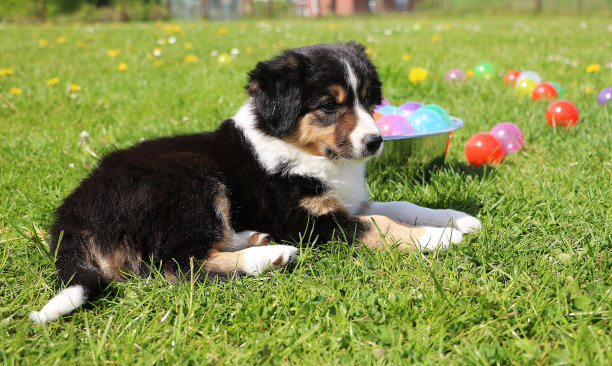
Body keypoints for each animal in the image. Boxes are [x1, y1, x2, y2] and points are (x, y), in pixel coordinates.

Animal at [29, 43, 482, 324]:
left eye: (369, 101)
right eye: (329, 106)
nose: (375, 142)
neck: (311, 155)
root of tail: (72, 211)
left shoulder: (346, 201)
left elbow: (401, 207)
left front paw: (455, 218)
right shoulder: (307, 219)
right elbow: (380, 226)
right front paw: (437, 238)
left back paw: (252, 238)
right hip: (191, 181)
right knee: (176, 264)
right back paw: (268, 256)